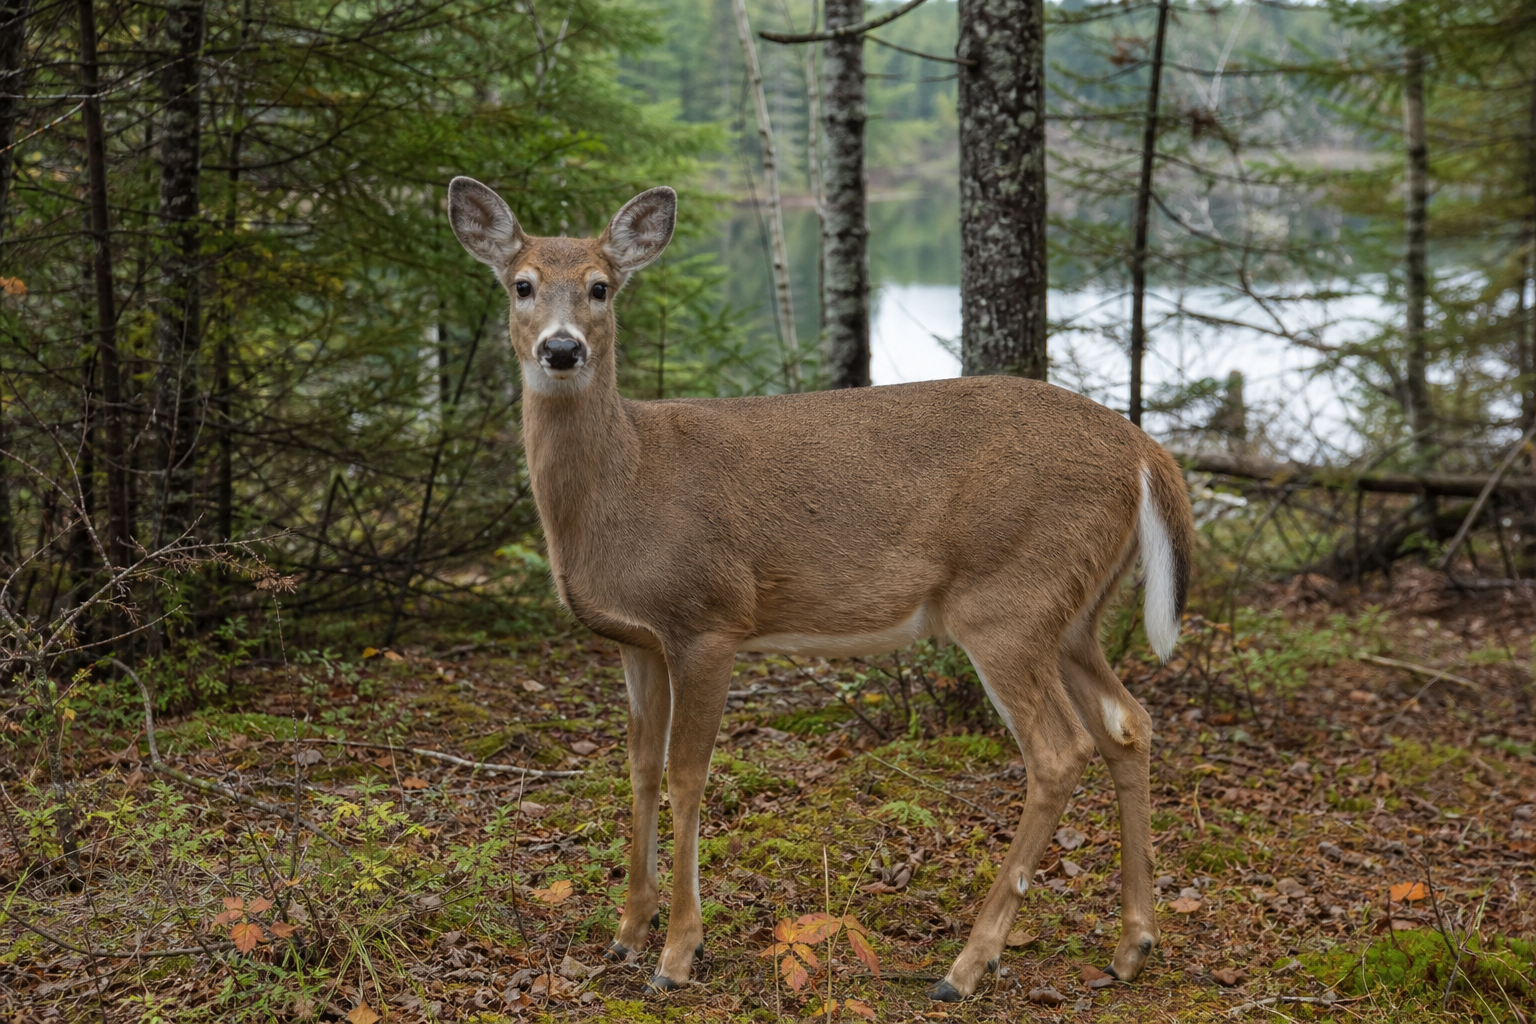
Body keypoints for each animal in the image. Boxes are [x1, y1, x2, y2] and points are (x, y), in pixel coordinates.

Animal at [446, 177, 1196, 1001]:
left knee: (1061, 751)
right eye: (521, 285)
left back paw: (967, 965)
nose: (561, 349)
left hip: (1010, 599)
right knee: (1129, 724)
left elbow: (687, 775)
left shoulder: (710, 619)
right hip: (1074, 614)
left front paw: (677, 953)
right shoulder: (636, 638)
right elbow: (639, 770)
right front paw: (627, 931)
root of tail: (1146, 451)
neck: (626, 485)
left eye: (600, 287)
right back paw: (1133, 945)